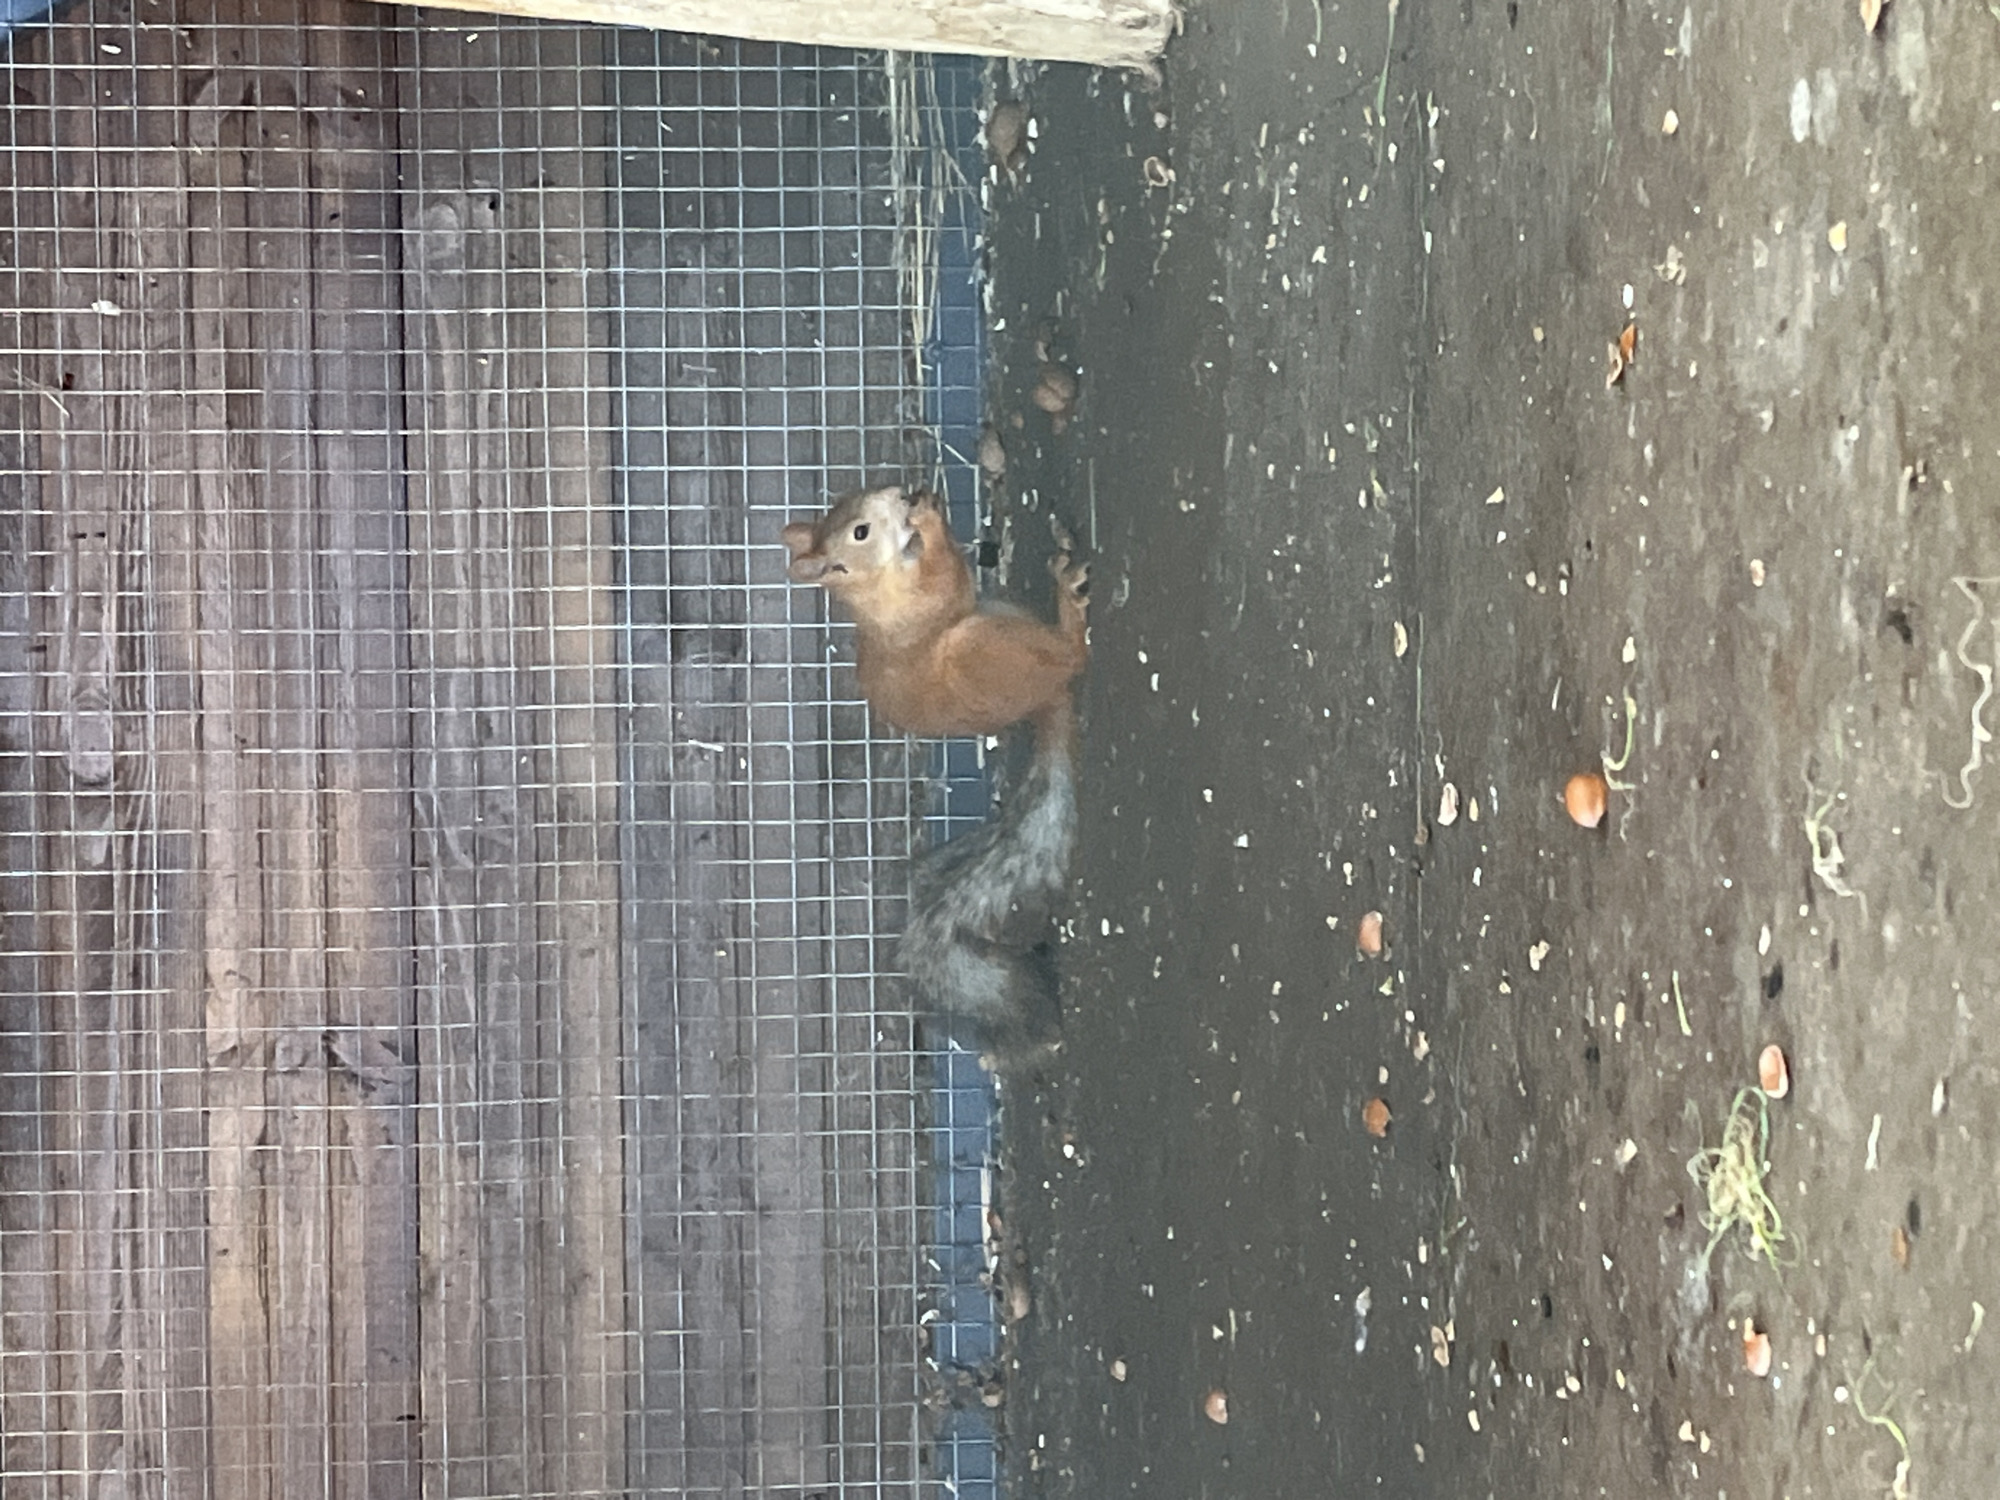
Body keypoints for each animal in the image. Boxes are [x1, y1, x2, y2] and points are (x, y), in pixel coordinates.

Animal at [782, 484, 1088, 1056]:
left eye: (858, 496)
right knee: (1073, 659)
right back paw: (1071, 613)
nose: (901, 493)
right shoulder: (919, 608)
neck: (880, 584)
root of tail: (1041, 697)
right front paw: (928, 521)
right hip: (986, 647)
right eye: (861, 531)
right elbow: (945, 582)